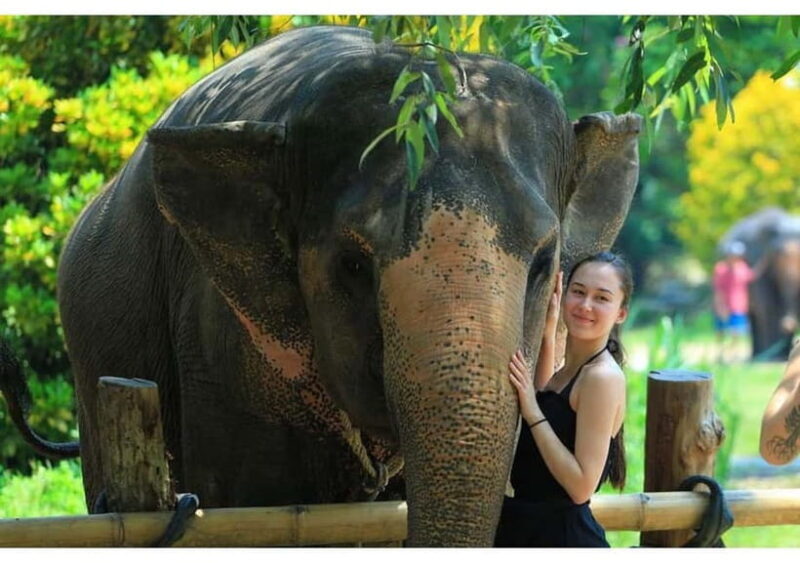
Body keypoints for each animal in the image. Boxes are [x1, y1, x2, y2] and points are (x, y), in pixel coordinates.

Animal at [719, 207, 800, 361]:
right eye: (779, 254)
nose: (788, 323)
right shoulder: (755, 258)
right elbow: (768, 304)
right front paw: (773, 358)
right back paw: (759, 356)